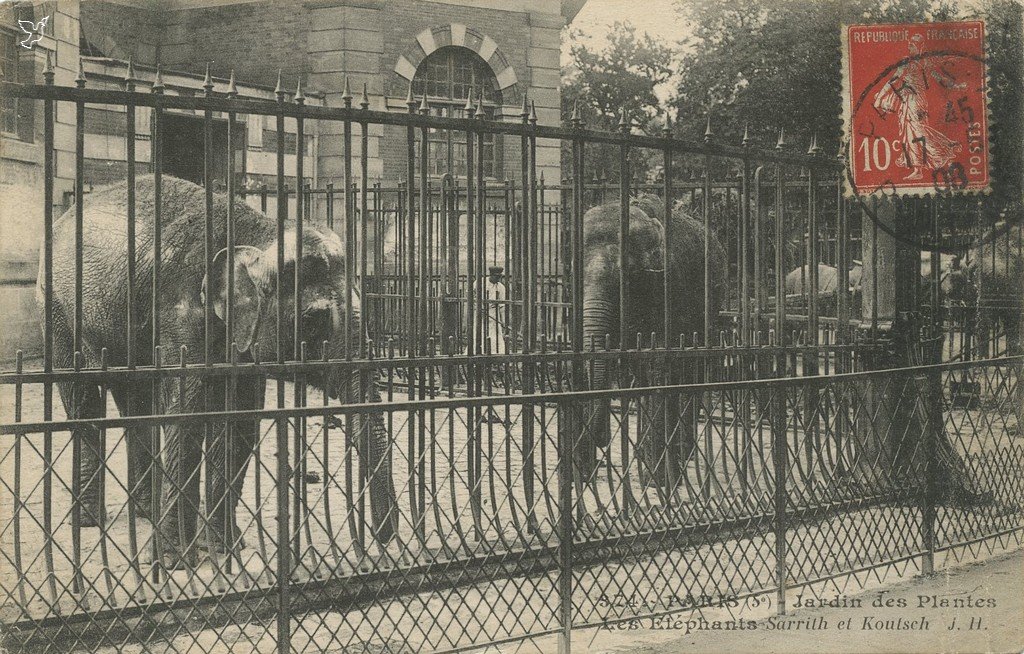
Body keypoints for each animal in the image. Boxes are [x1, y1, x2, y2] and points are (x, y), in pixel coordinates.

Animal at [40, 175, 399, 569]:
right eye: (313, 320)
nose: (384, 542)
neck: (259, 234)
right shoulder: (179, 311)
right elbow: (188, 415)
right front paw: (172, 561)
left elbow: (240, 422)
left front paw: (225, 547)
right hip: (58, 311)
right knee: (84, 401)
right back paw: (89, 520)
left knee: (137, 402)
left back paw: (146, 512)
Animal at [569, 194, 729, 491]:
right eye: (576, 274)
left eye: (627, 275)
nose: (601, 443)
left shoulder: (668, 286)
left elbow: (659, 365)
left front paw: (659, 481)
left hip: (713, 305)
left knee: (689, 372)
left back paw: (682, 455)